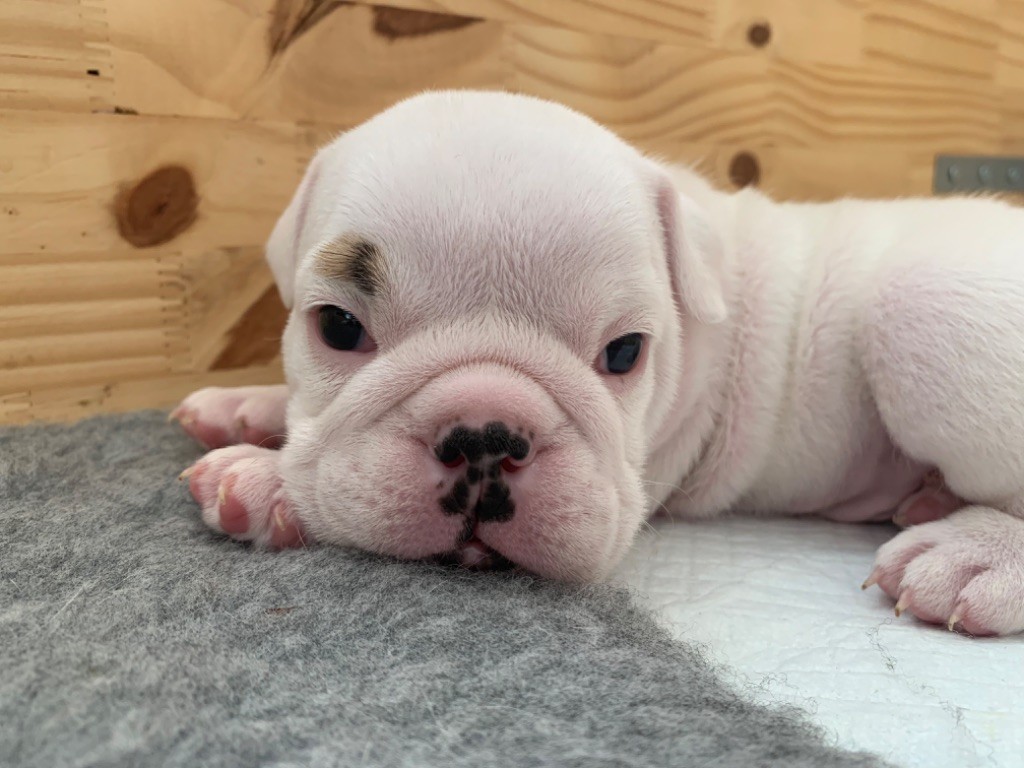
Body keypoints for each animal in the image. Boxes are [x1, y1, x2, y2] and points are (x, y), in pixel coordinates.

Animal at [172, 90, 1024, 636]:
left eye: (624, 353)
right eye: (338, 327)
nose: (486, 434)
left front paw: (264, 481)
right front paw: (245, 409)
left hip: (920, 307)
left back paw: (971, 556)